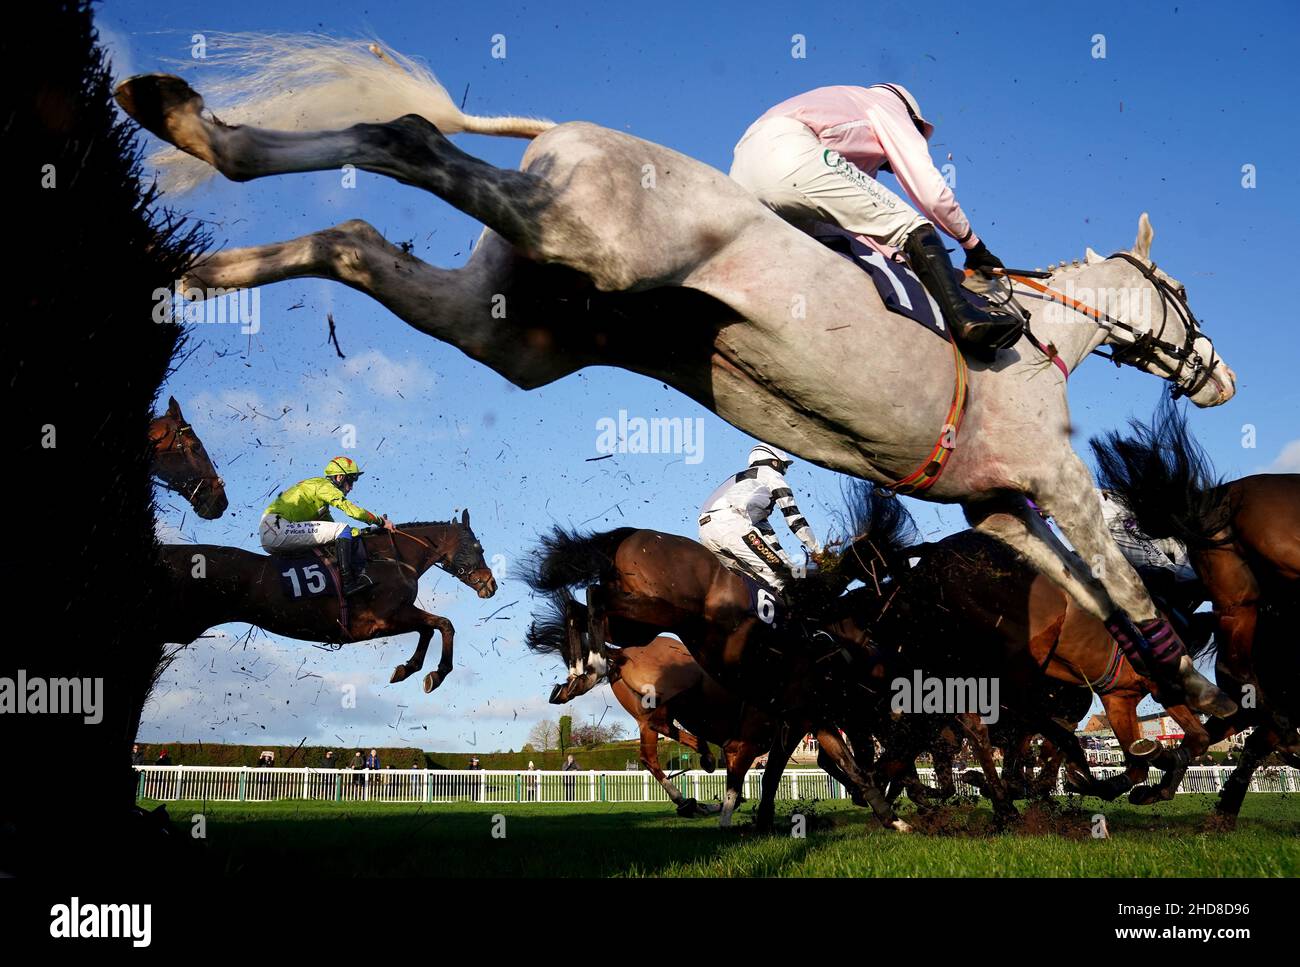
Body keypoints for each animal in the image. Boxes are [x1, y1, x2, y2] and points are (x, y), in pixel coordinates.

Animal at [157, 509, 491, 691]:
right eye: (479, 547)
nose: (491, 584)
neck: (391, 558)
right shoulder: (385, 618)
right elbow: (443, 624)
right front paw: (436, 673)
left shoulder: (397, 616)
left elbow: (429, 629)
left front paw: (408, 668)